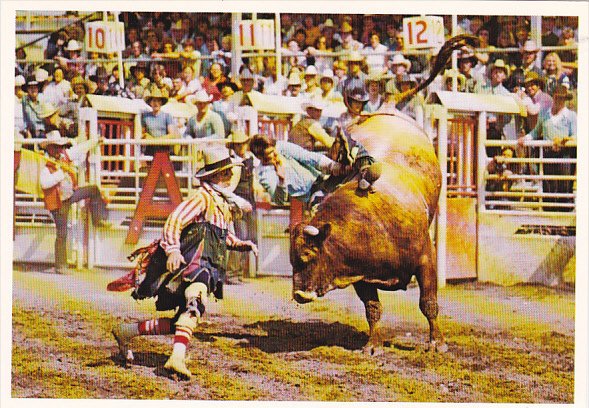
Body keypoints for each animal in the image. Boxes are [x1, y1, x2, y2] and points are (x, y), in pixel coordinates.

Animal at [290, 35, 478, 354]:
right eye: (292, 259)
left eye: (308, 256)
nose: (300, 295)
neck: (371, 224)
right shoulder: (360, 274)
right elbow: (373, 309)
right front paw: (373, 345)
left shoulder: (426, 258)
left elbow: (428, 302)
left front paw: (437, 342)